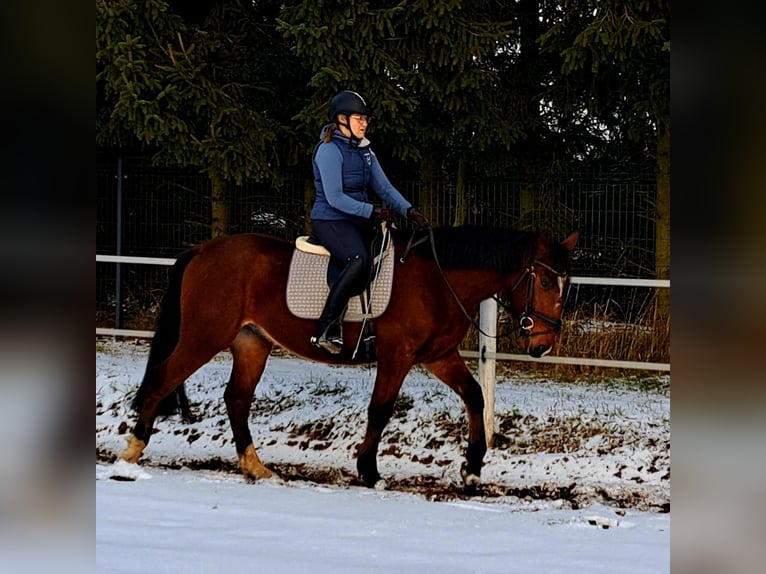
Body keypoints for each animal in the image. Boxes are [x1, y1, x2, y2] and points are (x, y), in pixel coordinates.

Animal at [120, 225, 578, 489]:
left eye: (566, 283)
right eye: (544, 281)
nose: (543, 345)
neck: (437, 278)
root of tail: (201, 250)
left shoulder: (438, 355)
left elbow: (475, 397)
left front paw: (472, 468)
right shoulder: (398, 355)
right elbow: (381, 408)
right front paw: (369, 471)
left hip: (251, 342)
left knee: (236, 398)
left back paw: (256, 468)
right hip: (204, 335)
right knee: (163, 378)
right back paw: (130, 456)